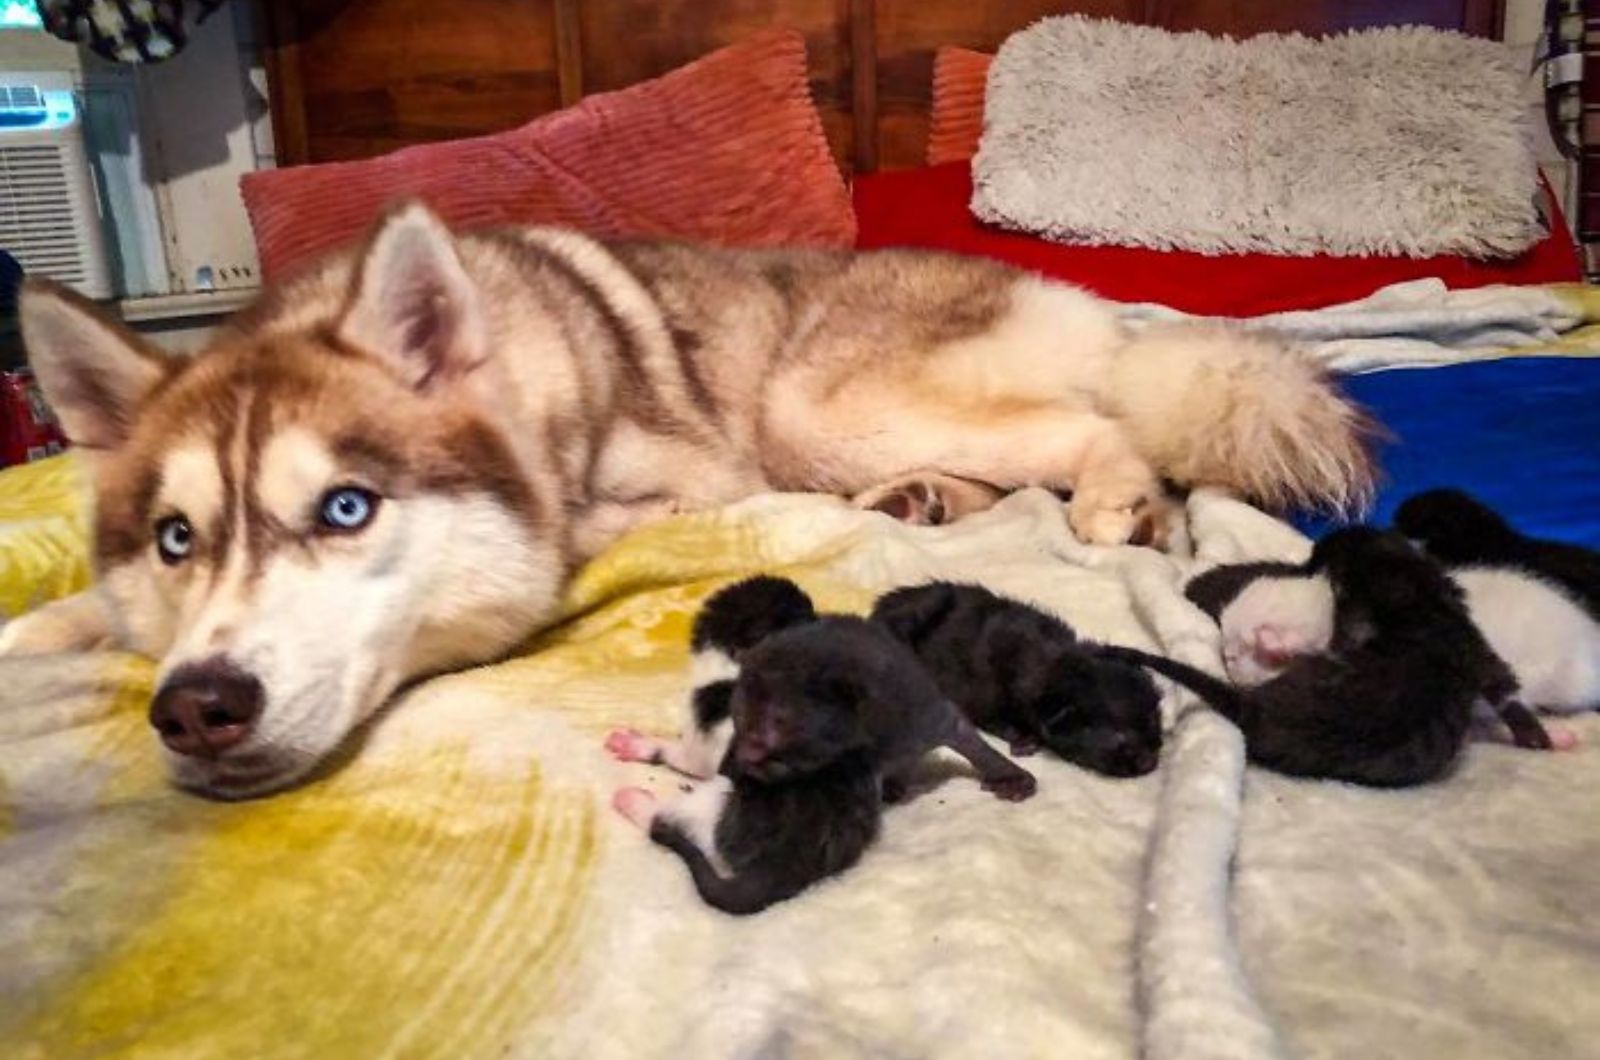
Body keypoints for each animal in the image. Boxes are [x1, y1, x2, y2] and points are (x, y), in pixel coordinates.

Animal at [611, 618, 1036, 915]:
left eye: (775, 736)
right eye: (742, 718)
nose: (741, 765)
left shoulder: (925, 715)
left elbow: (970, 738)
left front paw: (1010, 774)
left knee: (677, 808)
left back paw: (635, 798)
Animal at [876, 582, 1164, 781]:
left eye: (1153, 723)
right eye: (1117, 738)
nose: (1150, 763)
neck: (1054, 664)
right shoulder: (978, 694)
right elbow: (995, 719)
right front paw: (1024, 739)